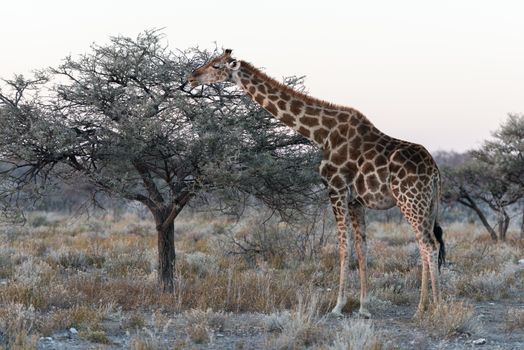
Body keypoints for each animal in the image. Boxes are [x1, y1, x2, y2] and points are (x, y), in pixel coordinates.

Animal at [186, 50, 444, 320]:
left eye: (216, 65)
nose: (191, 77)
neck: (322, 134)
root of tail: (435, 171)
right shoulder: (355, 201)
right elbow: (361, 248)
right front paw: (363, 308)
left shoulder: (335, 189)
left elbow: (343, 247)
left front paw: (338, 306)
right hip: (426, 204)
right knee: (425, 245)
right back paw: (422, 307)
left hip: (410, 200)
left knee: (429, 245)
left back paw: (435, 308)